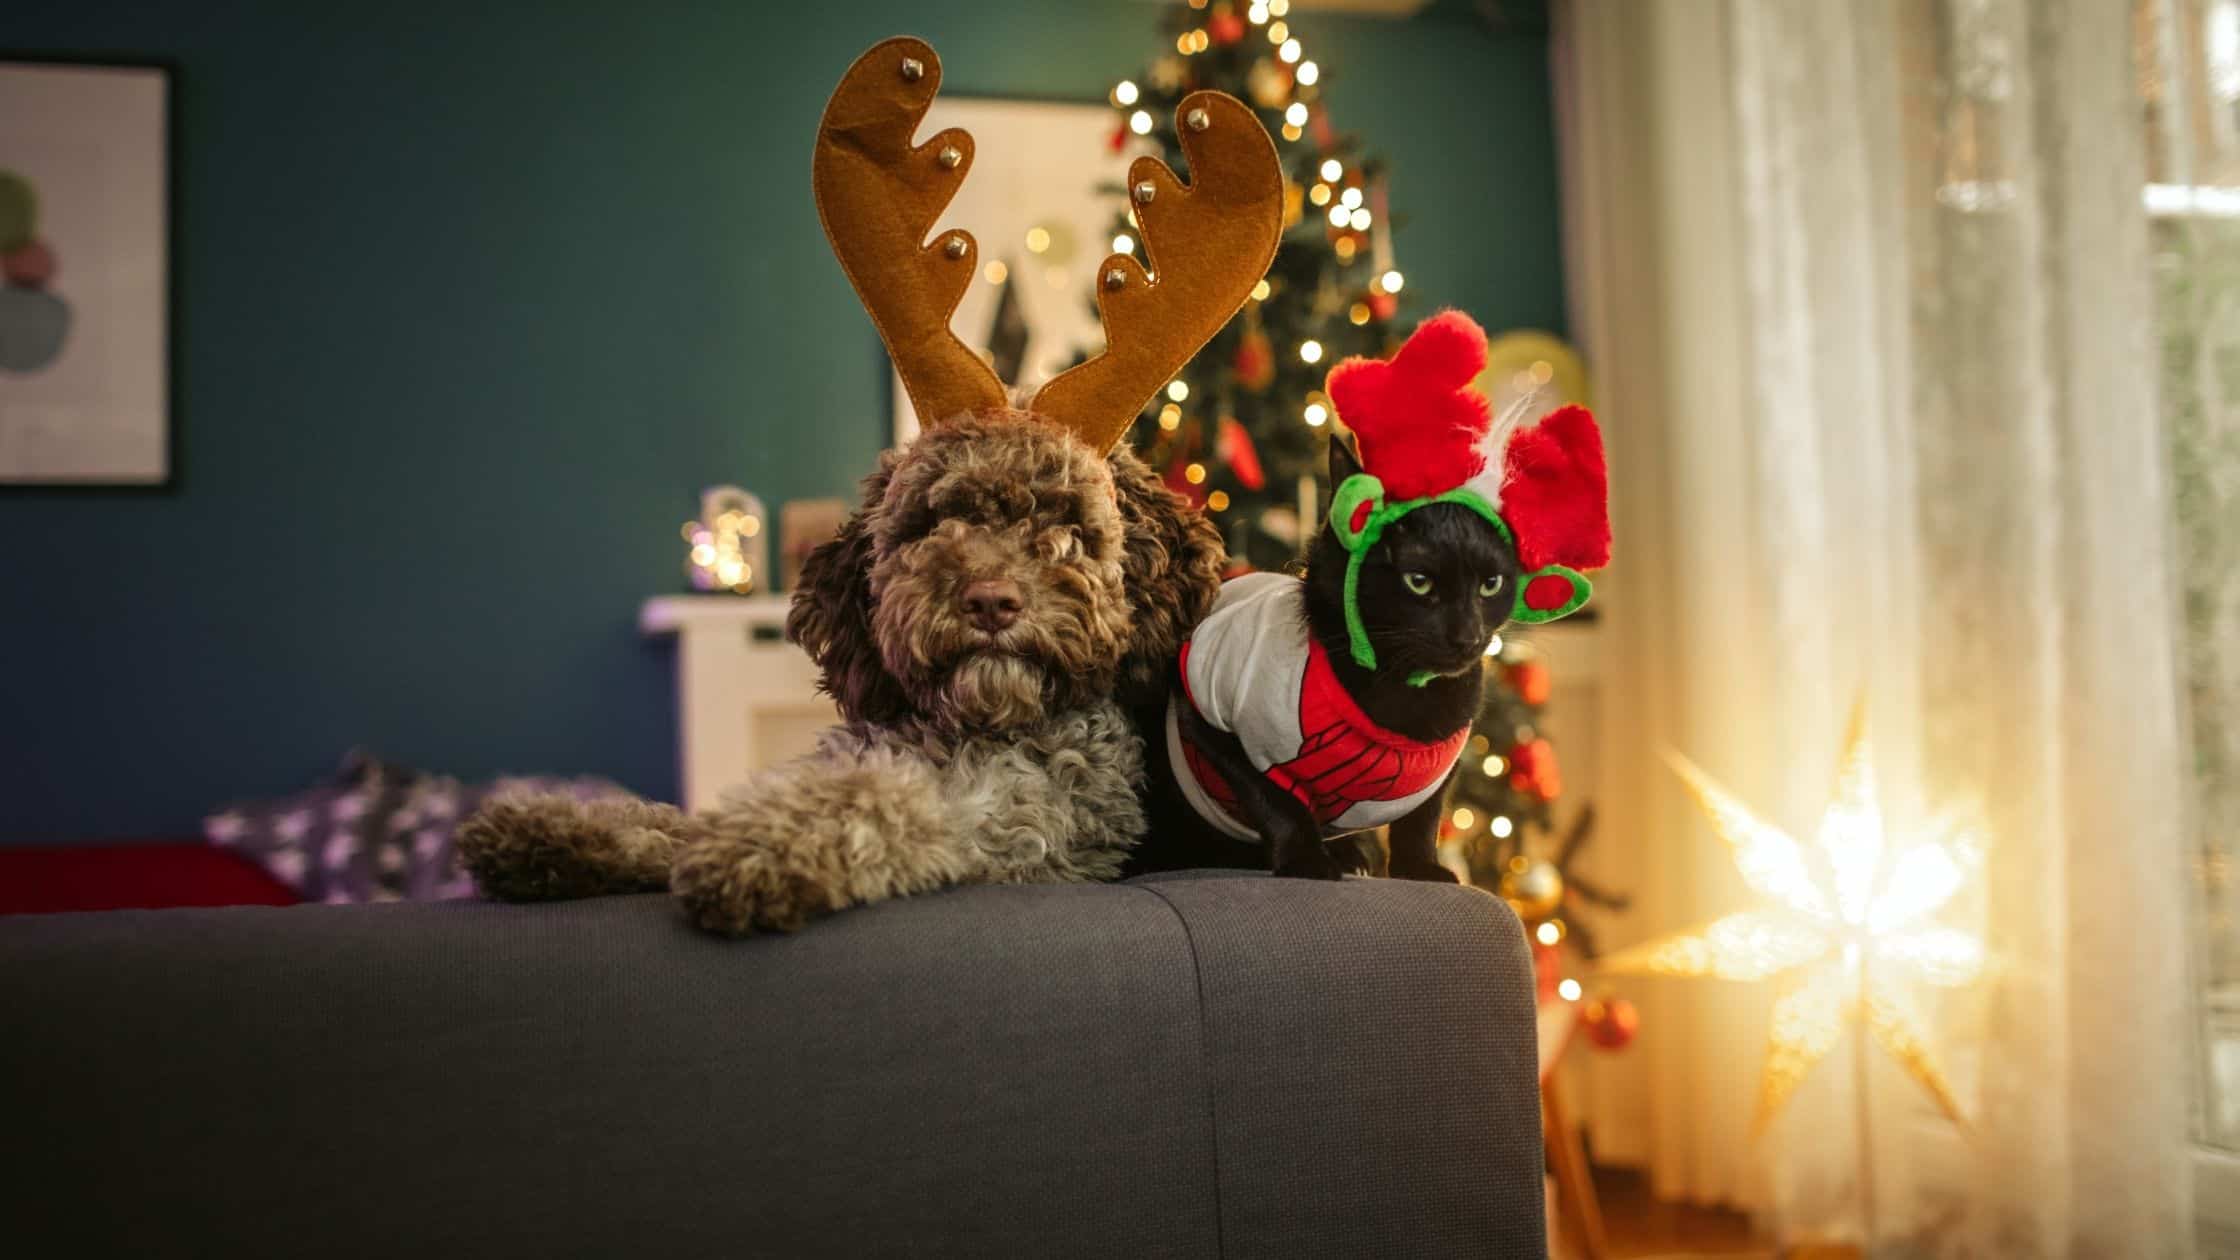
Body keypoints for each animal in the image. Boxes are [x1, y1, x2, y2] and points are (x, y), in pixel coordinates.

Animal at [459, 412, 1227, 932]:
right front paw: (552, 831)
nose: (990, 600)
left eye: (1066, 521)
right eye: (931, 522)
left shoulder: (1014, 834)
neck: (962, 729)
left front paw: (756, 851)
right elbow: (678, 822)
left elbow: (874, 806)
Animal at [1128, 437, 1532, 878]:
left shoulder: (1442, 765)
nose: (1468, 637)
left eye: (1491, 585)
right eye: (1419, 582)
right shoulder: (1207, 710)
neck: (1399, 692)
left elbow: (1422, 818)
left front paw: (1420, 868)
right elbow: (1278, 800)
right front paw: (1306, 861)